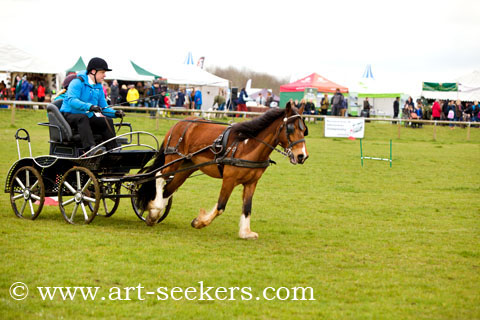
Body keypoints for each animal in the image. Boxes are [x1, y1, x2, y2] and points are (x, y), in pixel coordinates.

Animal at [136, 104, 308, 239]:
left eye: (304, 130)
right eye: (290, 128)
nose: (302, 156)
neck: (247, 145)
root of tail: (180, 123)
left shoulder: (252, 182)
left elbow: (247, 207)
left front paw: (245, 232)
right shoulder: (229, 179)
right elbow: (220, 206)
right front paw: (199, 222)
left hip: (186, 167)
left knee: (169, 189)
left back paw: (153, 215)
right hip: (173, 159)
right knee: (159, 176)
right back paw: (155, 208)